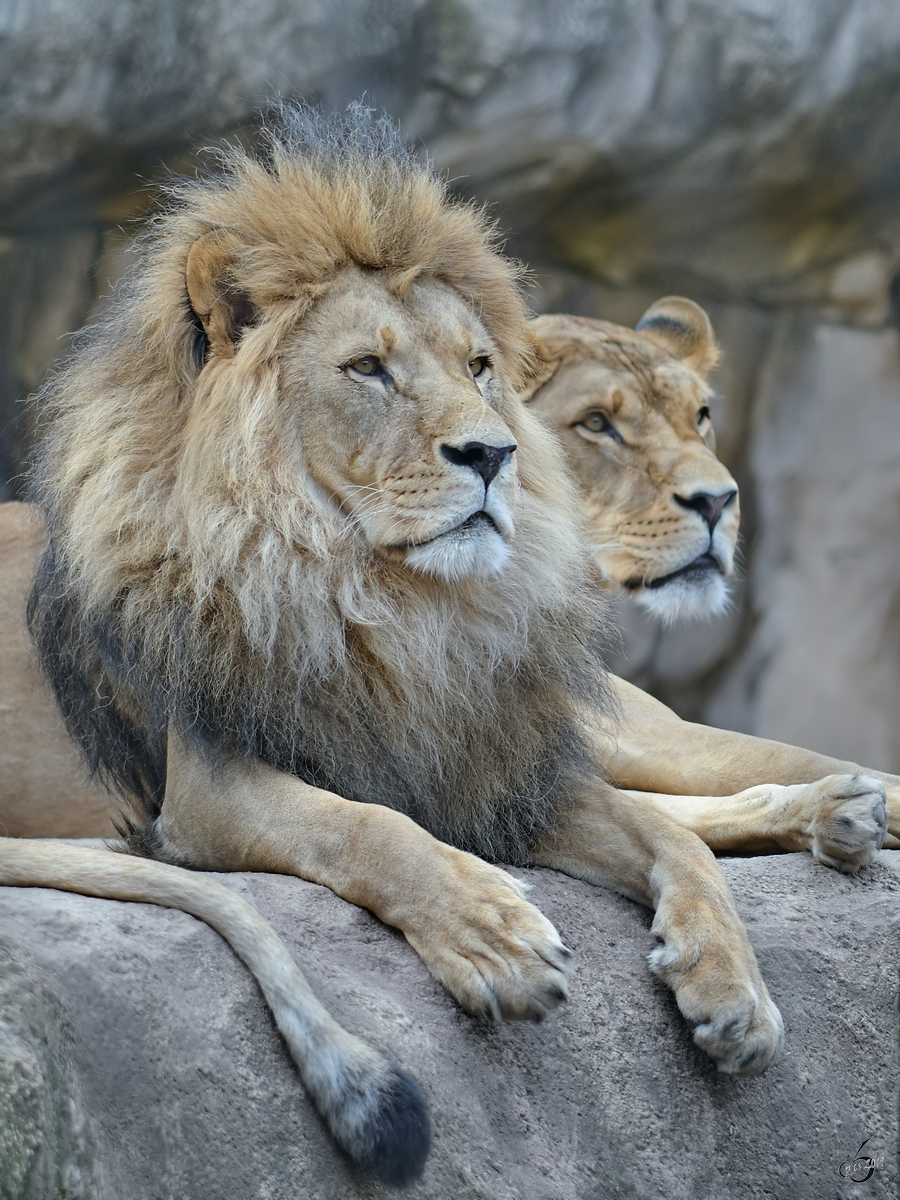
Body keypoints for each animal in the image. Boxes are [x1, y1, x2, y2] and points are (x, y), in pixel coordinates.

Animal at [0, 103, 888, 1180]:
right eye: (369, 368)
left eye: (478, 368)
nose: (492, 454)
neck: (392, 603)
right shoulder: (209, 790)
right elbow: (368, 826)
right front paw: (491, 933)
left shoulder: (488, 762)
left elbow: (665, 832)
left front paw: (730, 984)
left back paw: (840, 809)